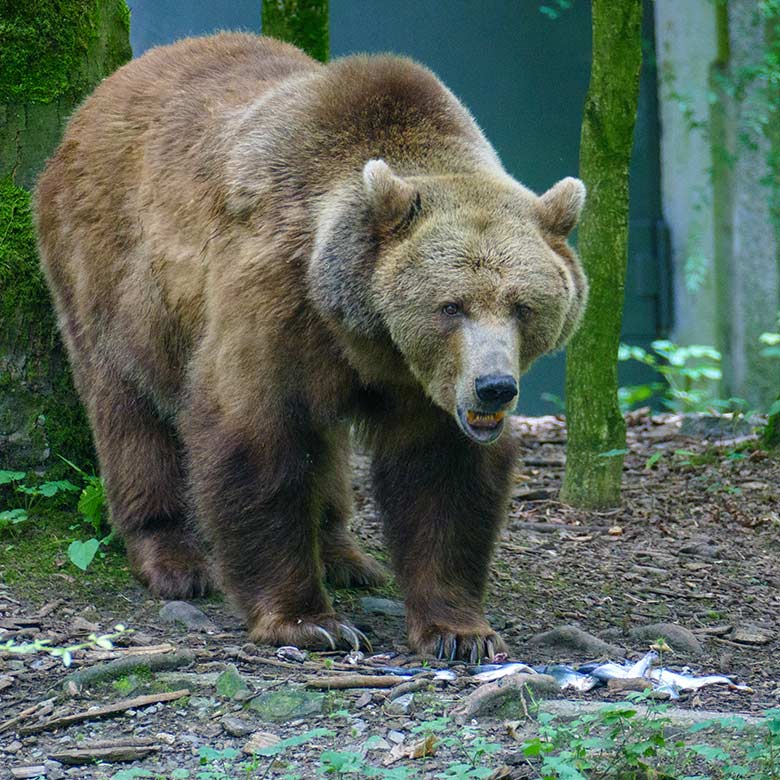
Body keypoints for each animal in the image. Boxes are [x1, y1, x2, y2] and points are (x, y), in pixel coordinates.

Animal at [35, 33, 584, 660]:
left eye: (523, 306)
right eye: (451, 306)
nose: (494, 386)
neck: (364, 332)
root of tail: (100, 97)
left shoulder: (422, 385)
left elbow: (441, 474)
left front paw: (458, 631)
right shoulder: (275, 300)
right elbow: (254, 435)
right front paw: (307, 620)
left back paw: (346, 555)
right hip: (110, 274)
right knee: (129, 413)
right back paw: (174, 557)